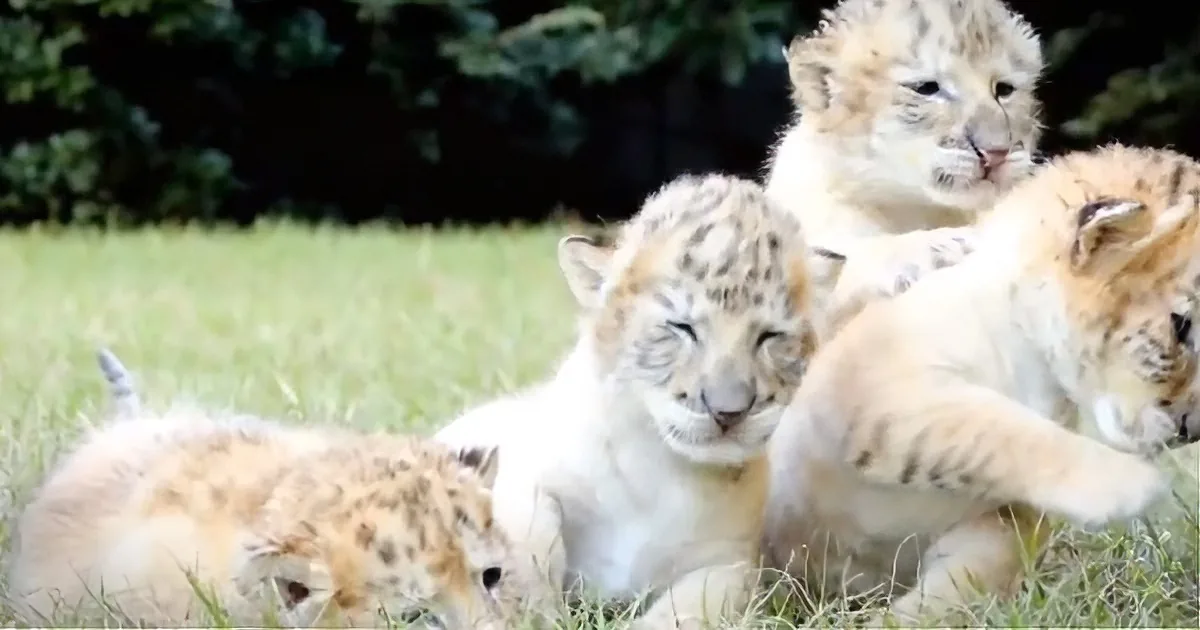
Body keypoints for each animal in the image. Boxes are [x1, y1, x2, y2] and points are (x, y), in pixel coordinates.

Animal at [434, 173, 846, 629]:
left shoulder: (731, 564)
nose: (728, 412)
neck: (662, 465)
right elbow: (528, 538)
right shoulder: (523, 470)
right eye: (681, 327)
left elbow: (684, 611)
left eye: (770, 336)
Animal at [763, 144, 1200, 625]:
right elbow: (992, 429)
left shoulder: (1002, 523)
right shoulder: (871, 379)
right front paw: (1130, 483)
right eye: (1181, 327)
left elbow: (955, 592)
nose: (1191, 430)